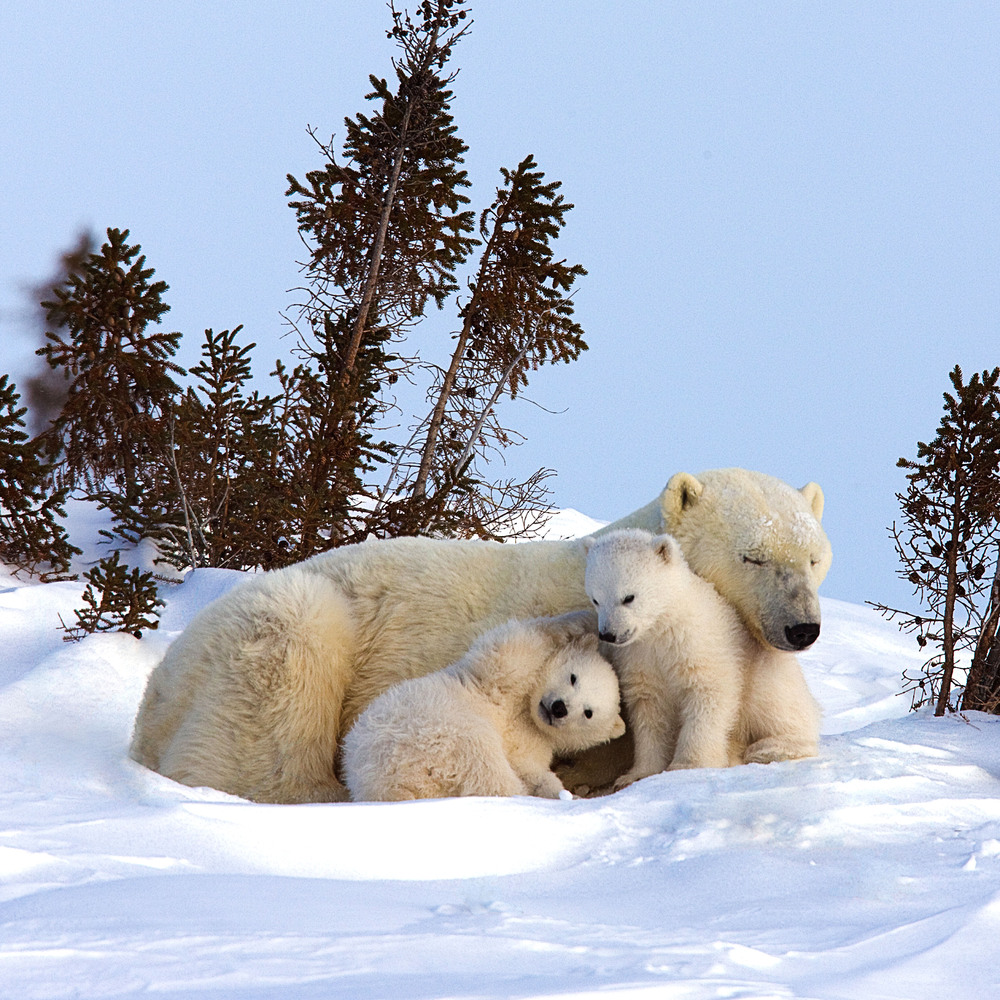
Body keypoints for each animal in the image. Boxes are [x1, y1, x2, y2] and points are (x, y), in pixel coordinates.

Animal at [344, 612, 624, 800]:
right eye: (573, 677)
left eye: (588, 713)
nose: (559, 708)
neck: (526, 713)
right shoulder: (500, 679)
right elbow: (518, 644)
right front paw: (584, 620)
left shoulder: (534, 743)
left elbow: (532, 770)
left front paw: (560, 791)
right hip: (431, 726)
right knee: (482, 759)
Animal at [584, 528, 820, 784]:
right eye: (596, 599)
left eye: (628, 597)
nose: (609, 634)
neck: (664, 627)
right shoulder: (639, 658)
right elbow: (649, 710)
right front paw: (636, 775)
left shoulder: (700, 645)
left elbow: (708, 695)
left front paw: (688, 766)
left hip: (769, 674)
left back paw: (769, 749)